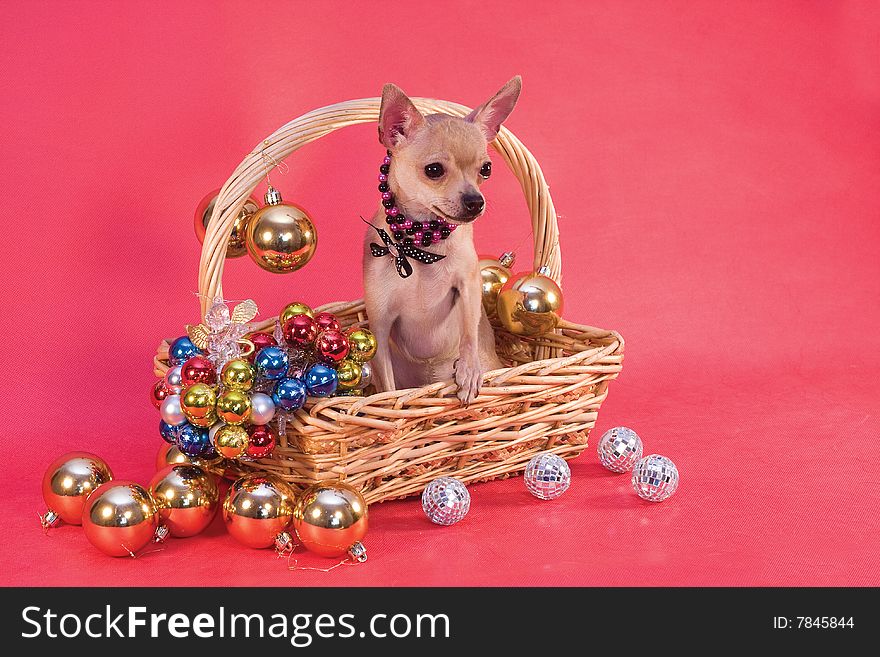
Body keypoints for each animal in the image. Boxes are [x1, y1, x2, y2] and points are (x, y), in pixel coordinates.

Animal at [360, 79, 520, 402]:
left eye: (486, 169)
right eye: (433, 170)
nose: (476, 201)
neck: (422, 241)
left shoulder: (469, 285)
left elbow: (469, 333)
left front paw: (469, 371)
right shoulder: (379, 327)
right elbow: (386, 383)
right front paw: (389, 404)